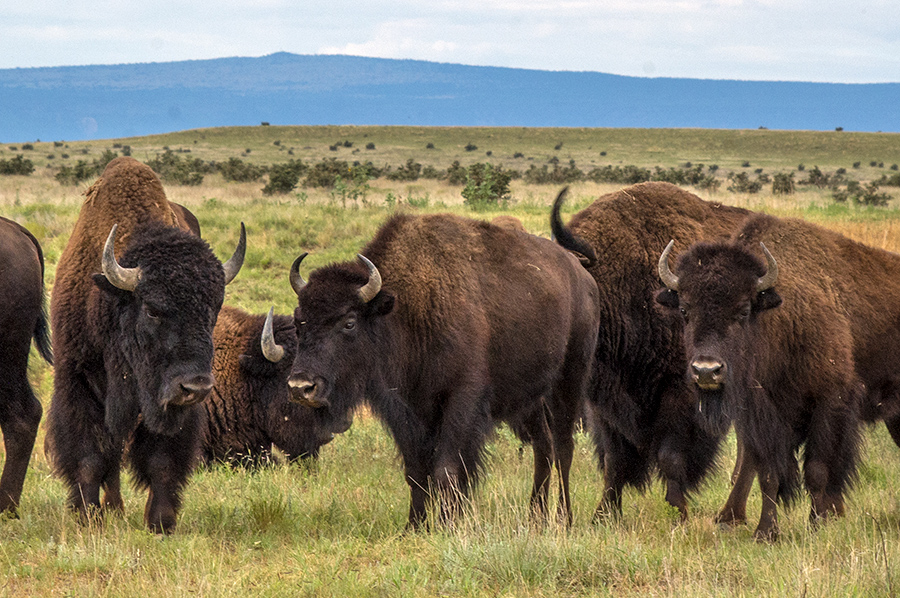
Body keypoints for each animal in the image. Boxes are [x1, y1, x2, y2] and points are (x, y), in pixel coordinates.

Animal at [44, 158, 244, 536]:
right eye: (152, 308)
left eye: (214, 308)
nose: (196, 386)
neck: (111, 300)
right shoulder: (77, 381)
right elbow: (90, 458)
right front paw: (88, 519)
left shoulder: (168, 404)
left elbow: (162, 461)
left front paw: (161, 523)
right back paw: (112, 509)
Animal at [284, 212, 600, 528]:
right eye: (300, 321)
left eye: (349, 322)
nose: (301, 387)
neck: (407, 310)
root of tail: (582, 274)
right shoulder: (403, 411)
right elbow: (416, 471)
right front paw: (415, 526)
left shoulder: (461, 400)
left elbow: (447, 469)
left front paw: (448, 523)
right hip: (530, 398)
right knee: (543, 446)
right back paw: (535, 516)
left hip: (570, 378)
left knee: (563, 447)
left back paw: (565, 518)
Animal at [656, 213, 876, 540]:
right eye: (684, 310)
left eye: (743, 311)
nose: (706, 370)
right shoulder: (761, 421)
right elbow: (768, 474)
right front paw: (766, 532)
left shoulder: (830, 401)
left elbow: (818, 470)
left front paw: (817, 524)